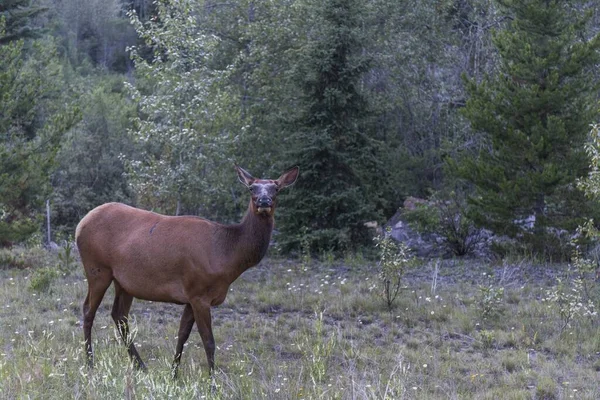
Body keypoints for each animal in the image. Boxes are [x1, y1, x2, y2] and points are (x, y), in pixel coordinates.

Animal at [75, 165, 300, 376]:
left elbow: (182, 335)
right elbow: (208, 342)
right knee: (88, 310)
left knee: (119, 315)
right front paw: (212, 382)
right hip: (97, 269)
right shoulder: (199, 293)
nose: (264, 201)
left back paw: (140, 365)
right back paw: (90, 363)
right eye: (252, 188)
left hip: (124, 282)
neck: (227, 256)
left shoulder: (192, 296)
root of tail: (80, 223)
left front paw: (173, 375)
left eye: (276, 188)